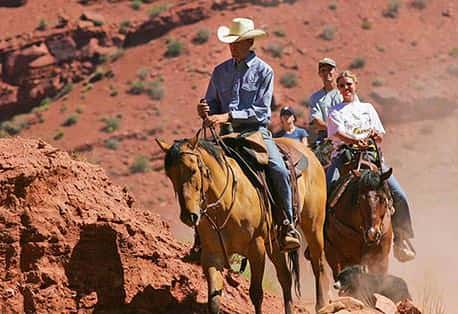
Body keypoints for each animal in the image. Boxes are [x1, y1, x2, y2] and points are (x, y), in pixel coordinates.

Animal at [156, 132, 330, 314]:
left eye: (193, 171)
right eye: (170, 175)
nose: (189, 216)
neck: (225, 204)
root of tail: (309, 152)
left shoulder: (256, 248)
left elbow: (256, 293)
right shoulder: (212, 254)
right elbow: (214, 299)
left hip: (314, 225)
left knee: (318, 264)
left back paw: (321, 305)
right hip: (275, 242)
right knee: (285, 277)